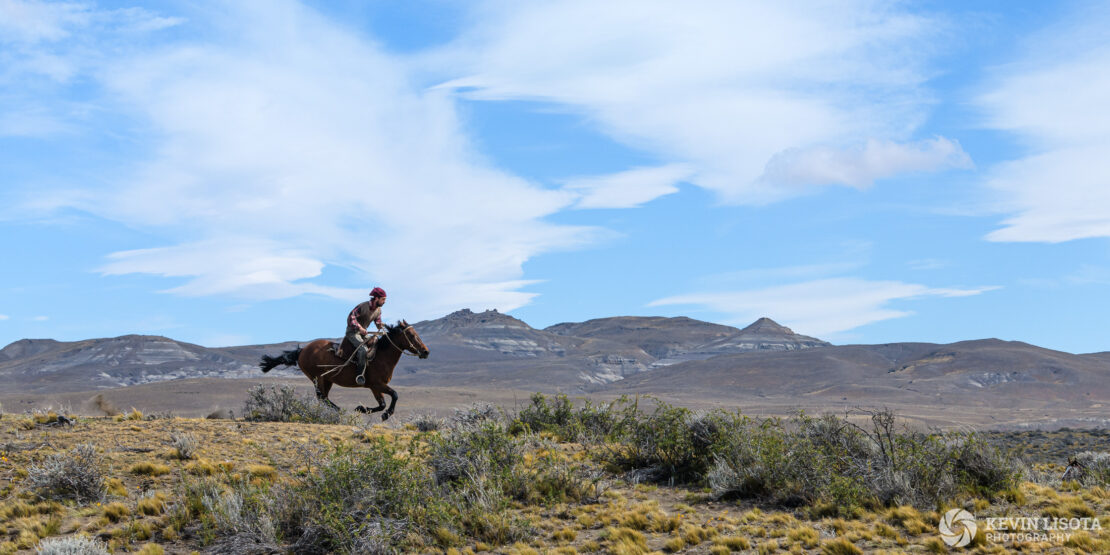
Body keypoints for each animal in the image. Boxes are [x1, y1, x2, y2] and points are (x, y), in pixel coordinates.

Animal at [258, 321, 428, 419]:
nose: (426, 352)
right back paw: (339, 410)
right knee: (322, 397)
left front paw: (361, 409)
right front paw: (386, 414)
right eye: (411, 335)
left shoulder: (375, 387)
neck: (381, 356)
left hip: (327, 380)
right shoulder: (377, 384)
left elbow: (382, 404)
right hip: (318, 378)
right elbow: (395, 395)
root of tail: (302, 350)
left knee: (323, 397)